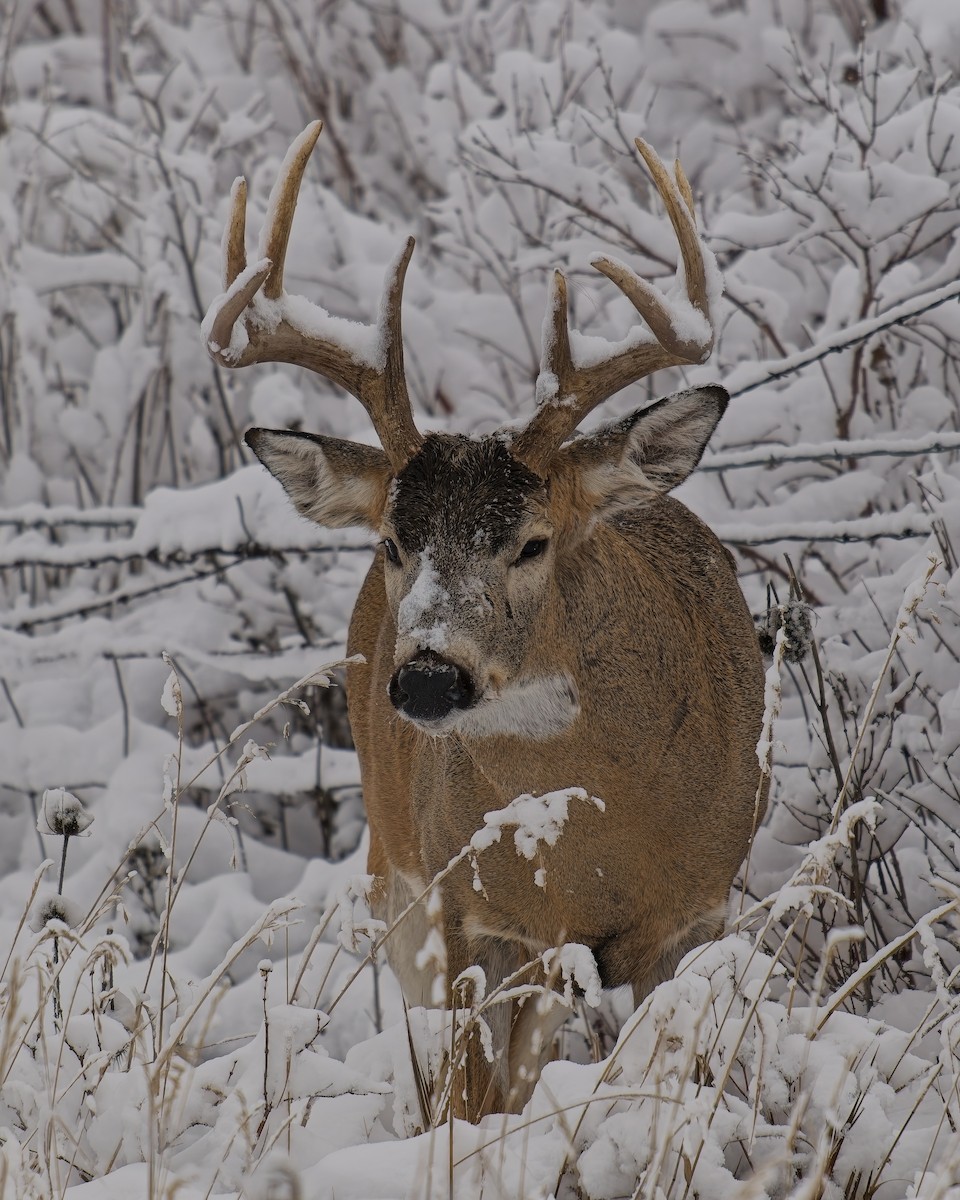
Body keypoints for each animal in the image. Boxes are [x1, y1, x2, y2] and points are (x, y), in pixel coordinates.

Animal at [202, 121, 766, 1122]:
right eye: (393, 542)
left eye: (533, 542)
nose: (429, 675)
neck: (600, 843)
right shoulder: (462, 906)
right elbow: (470, 1095)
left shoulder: (697, 913)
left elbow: (664, 1080)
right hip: (395, 875)